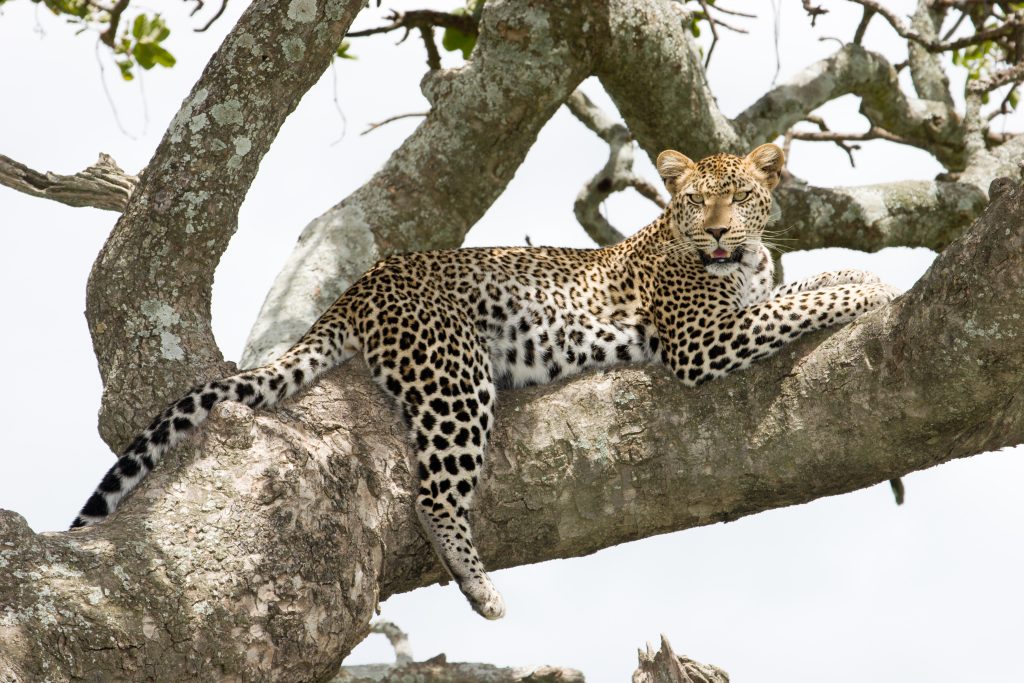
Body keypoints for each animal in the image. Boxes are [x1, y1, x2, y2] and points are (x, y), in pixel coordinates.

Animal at [71, 143, 898, 620]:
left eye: (741, 196)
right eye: (696, 200)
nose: (720, 230)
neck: (736, 258)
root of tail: (360, 284)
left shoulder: (741, 300)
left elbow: (794, 288)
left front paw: (856, 276)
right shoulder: (701, 339)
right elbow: (800, 301)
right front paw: (870, 289)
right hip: (457, 375)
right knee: (434, 494)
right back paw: (481, 588)